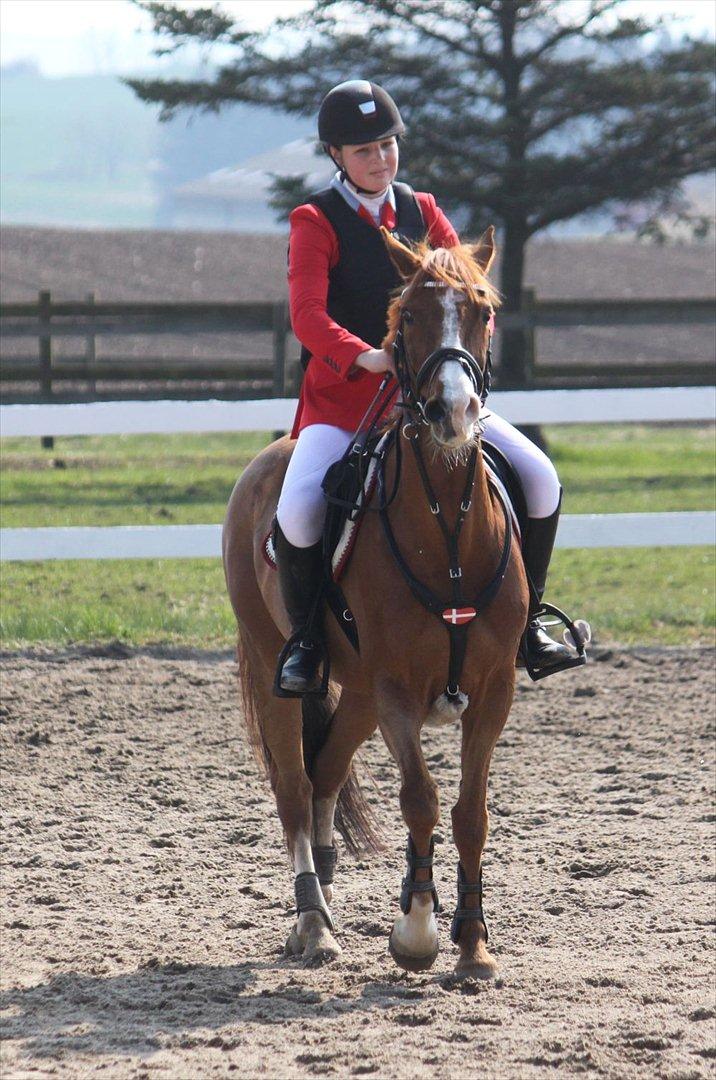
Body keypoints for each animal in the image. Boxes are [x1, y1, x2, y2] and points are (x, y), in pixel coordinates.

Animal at [222, 225, 529, 979]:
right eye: (409, 317)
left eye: (482, 311)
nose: (454, 412)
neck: (448, 531)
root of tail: (269, 457)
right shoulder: (397, 690)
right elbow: (420, 799)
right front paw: (416, 931)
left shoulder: (495, 688)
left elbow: (471, 811)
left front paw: (473, 944)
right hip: (281, 668)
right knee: (296, 788)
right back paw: (314, 924)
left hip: (356, 690)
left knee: (327, 770)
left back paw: (318, 909)